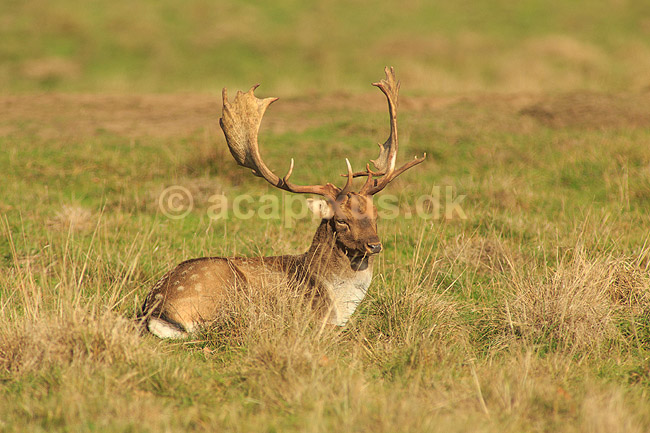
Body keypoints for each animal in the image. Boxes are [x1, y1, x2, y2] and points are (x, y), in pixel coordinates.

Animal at [140, 67, 425, 338]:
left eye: (376, 215)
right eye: (341, 220)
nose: (374, 245)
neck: (337, 300)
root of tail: (154, 309)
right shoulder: (315, 318)